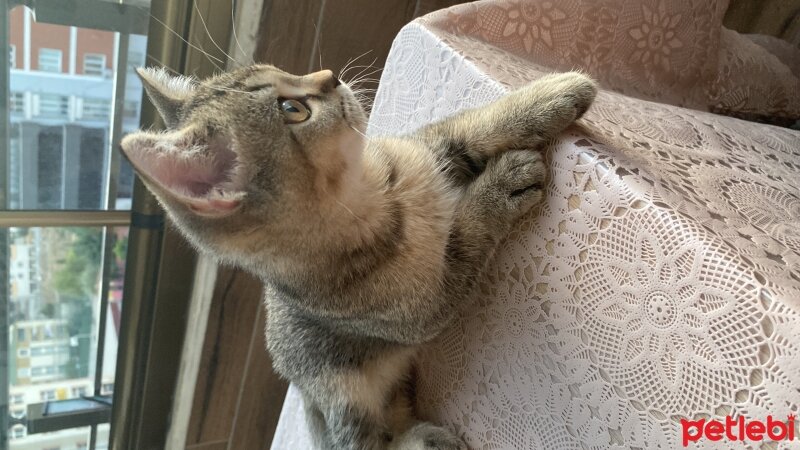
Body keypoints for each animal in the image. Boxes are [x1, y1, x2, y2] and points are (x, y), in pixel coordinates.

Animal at [119, 64, 592, 450]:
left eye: (283, 70)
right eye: (293, 109)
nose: (328, 75)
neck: (382, 194)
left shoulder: (427, 148)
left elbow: (471, 127)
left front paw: (550, 95)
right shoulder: (432, 302)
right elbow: (468, 232)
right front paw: (498, 188)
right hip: (344, 396)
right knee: (367, 444)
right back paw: (423, 440)